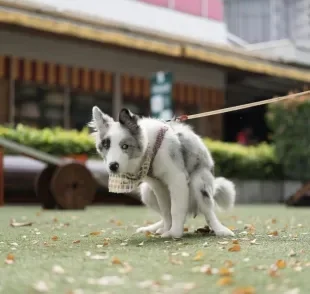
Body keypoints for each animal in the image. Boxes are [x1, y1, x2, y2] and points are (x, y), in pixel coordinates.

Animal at [91, 106, 236, 239]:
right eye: (106, 145)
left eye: (125, 146)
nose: (113, 166)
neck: (152, 146)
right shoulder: (158, 185)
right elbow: (166, 211)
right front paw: (167, 229)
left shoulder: (177, 179)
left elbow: (175, 209)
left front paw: (174, 233)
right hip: (146, 192)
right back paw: (155, 228)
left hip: (199, 182)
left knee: (208, 211)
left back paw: (221, 230)